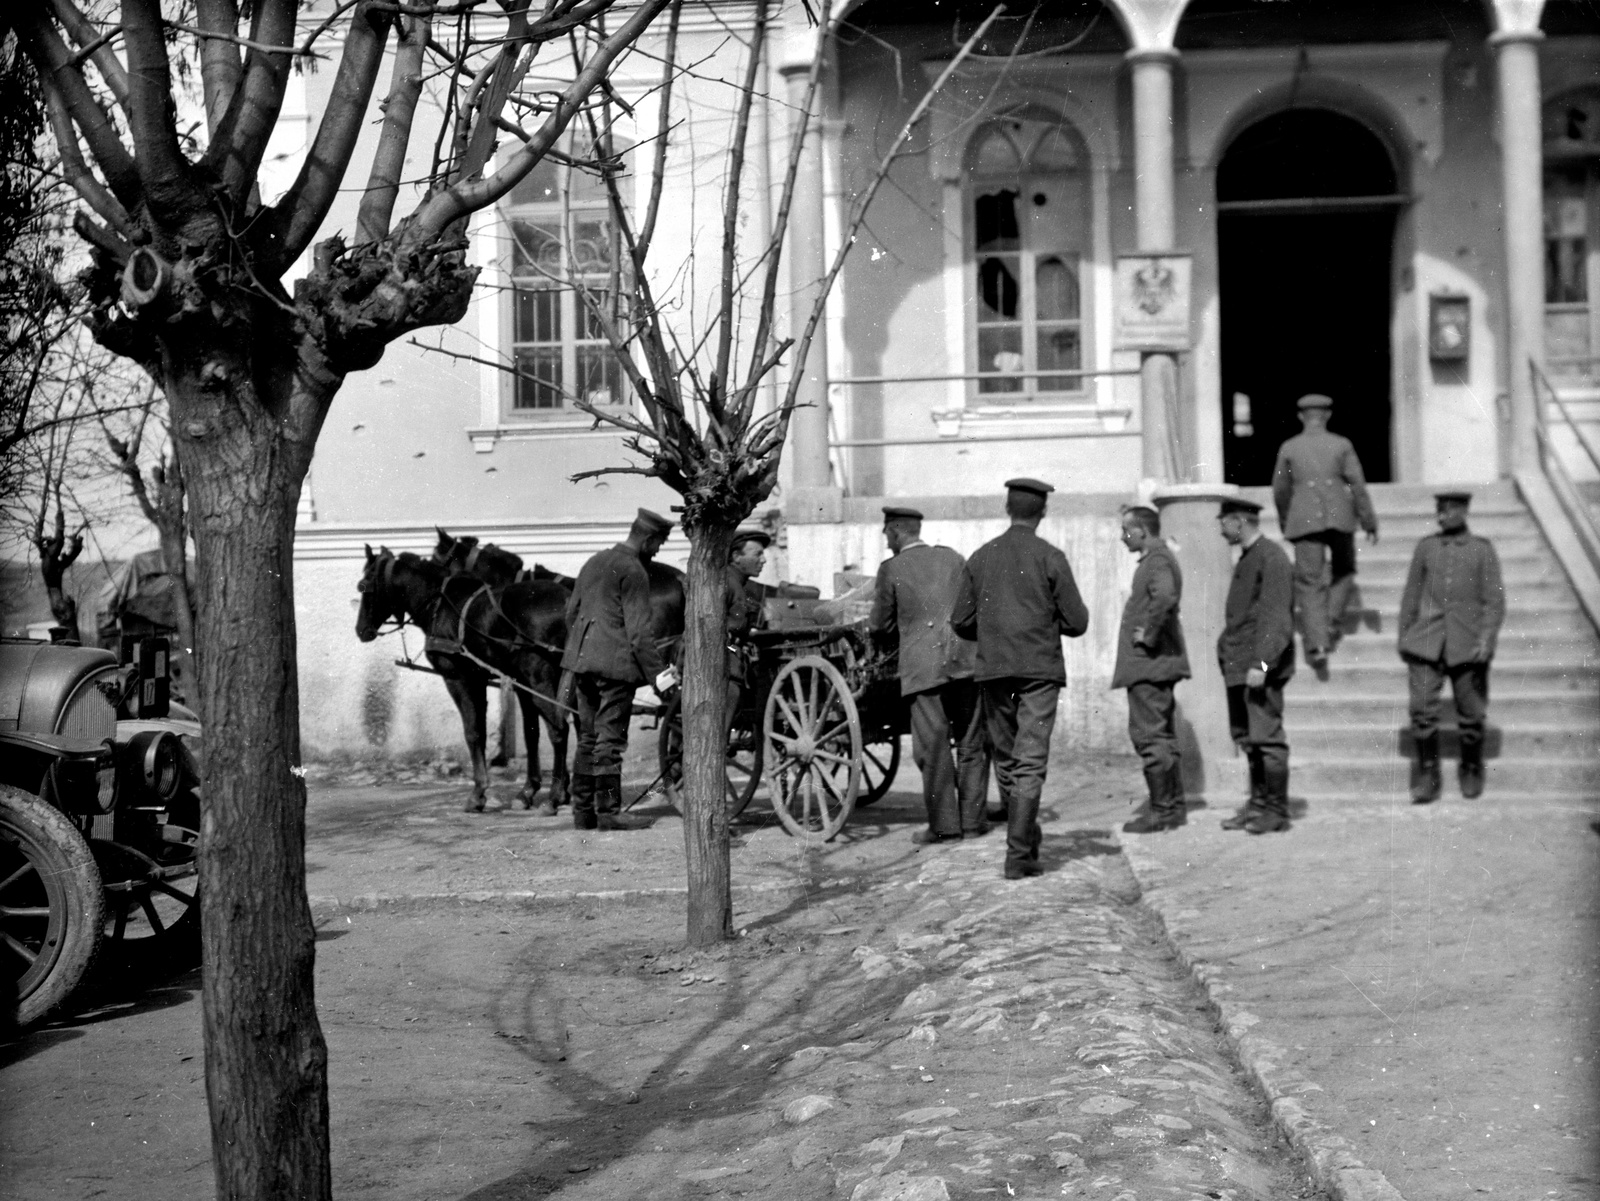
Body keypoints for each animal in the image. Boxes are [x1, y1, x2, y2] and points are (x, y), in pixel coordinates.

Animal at [356, 546, 576, 818]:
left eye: (363, 586)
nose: (360, 630)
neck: (439, 604)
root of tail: (567, 601)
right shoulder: (501, 681)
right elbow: (527, 733)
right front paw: (527, 791)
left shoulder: (459, 679)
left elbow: (473, 732)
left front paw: (478, 793)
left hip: (540, 681)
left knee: (559, 730)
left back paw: (553, 797)